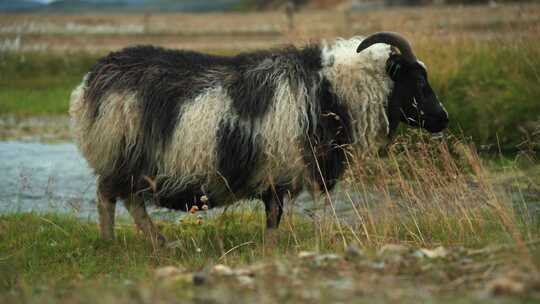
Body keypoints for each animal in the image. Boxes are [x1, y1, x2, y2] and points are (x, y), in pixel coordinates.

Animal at [69, 31, 450, 245]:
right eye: (418, 80)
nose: (443, 119)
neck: (333, 91)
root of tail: (88, 82)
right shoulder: (279, 171)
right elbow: (274, 217)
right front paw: (271, 251)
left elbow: (275, 217)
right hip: (121, 155)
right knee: (108, 198)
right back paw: (110, 244)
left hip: (134, 162)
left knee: (131, 202)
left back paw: (159, 243)